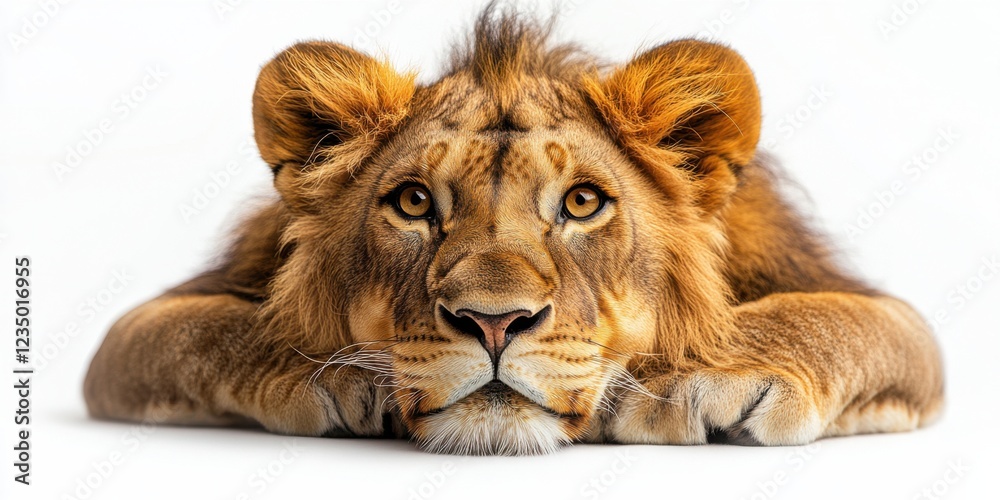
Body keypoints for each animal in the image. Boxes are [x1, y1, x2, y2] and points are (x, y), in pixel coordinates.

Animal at [84, 6, 944, 455]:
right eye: (414, 203)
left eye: (583, 204)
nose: (493, 323)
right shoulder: (131, 339)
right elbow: (206, 330)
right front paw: (333, 370)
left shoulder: (875, 313)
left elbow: (842, 320)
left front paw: (685, 375)